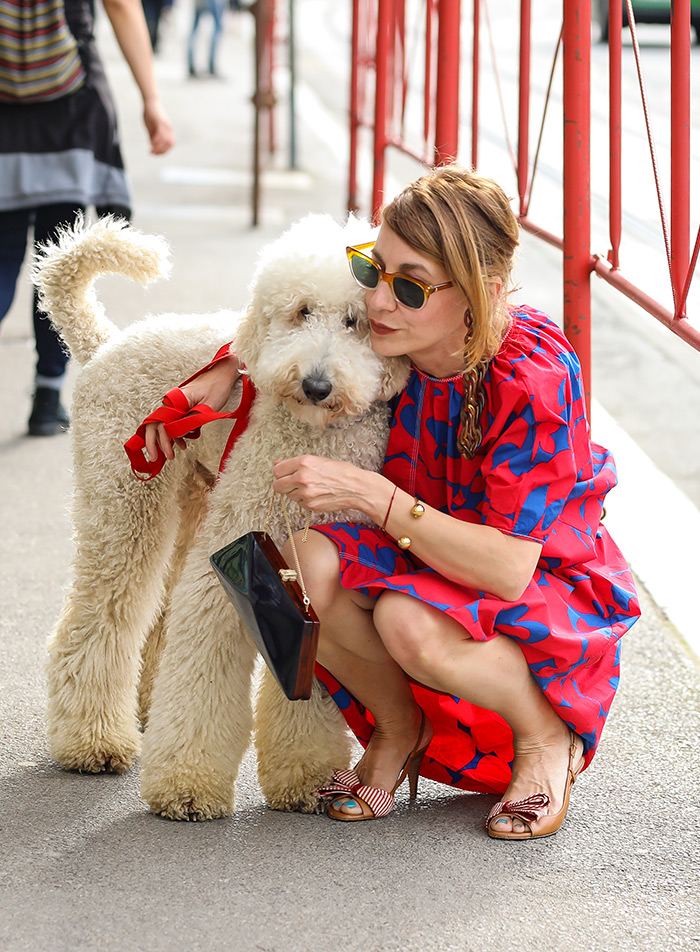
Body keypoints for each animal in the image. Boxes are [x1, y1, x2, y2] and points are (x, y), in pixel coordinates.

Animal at [35, 214, 410, 820]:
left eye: (357, 322)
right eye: (301, 311)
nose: (316, 385)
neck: (308, 440)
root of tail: (106, 343)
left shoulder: (304, 570)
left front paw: (305, 775)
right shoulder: (232, 559)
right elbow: (203, 663)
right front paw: (186, 785)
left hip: (191, 500)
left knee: (156, 617)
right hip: (125, 504)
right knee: (99, 618)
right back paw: (93, 742)